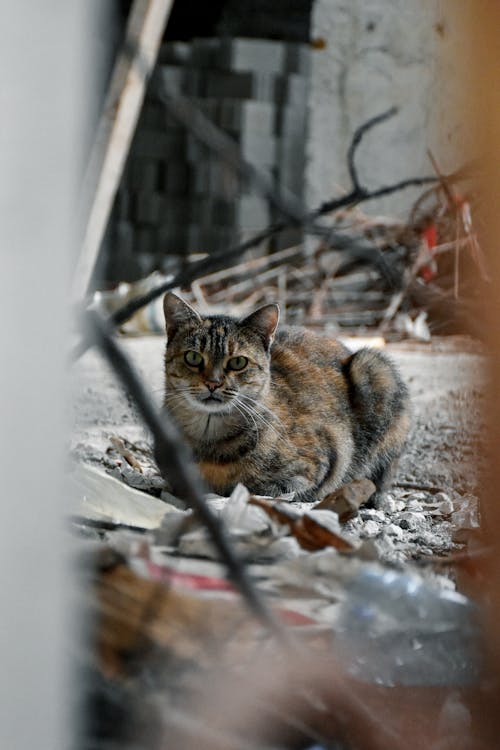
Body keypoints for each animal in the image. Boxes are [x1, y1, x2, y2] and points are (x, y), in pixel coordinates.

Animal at [162, 292, 408, 500]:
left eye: (238, 362)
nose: (213, 383)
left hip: (374, 368)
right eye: (193, 357)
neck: (207, 439)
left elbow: (260, 486)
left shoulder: (321, 462)